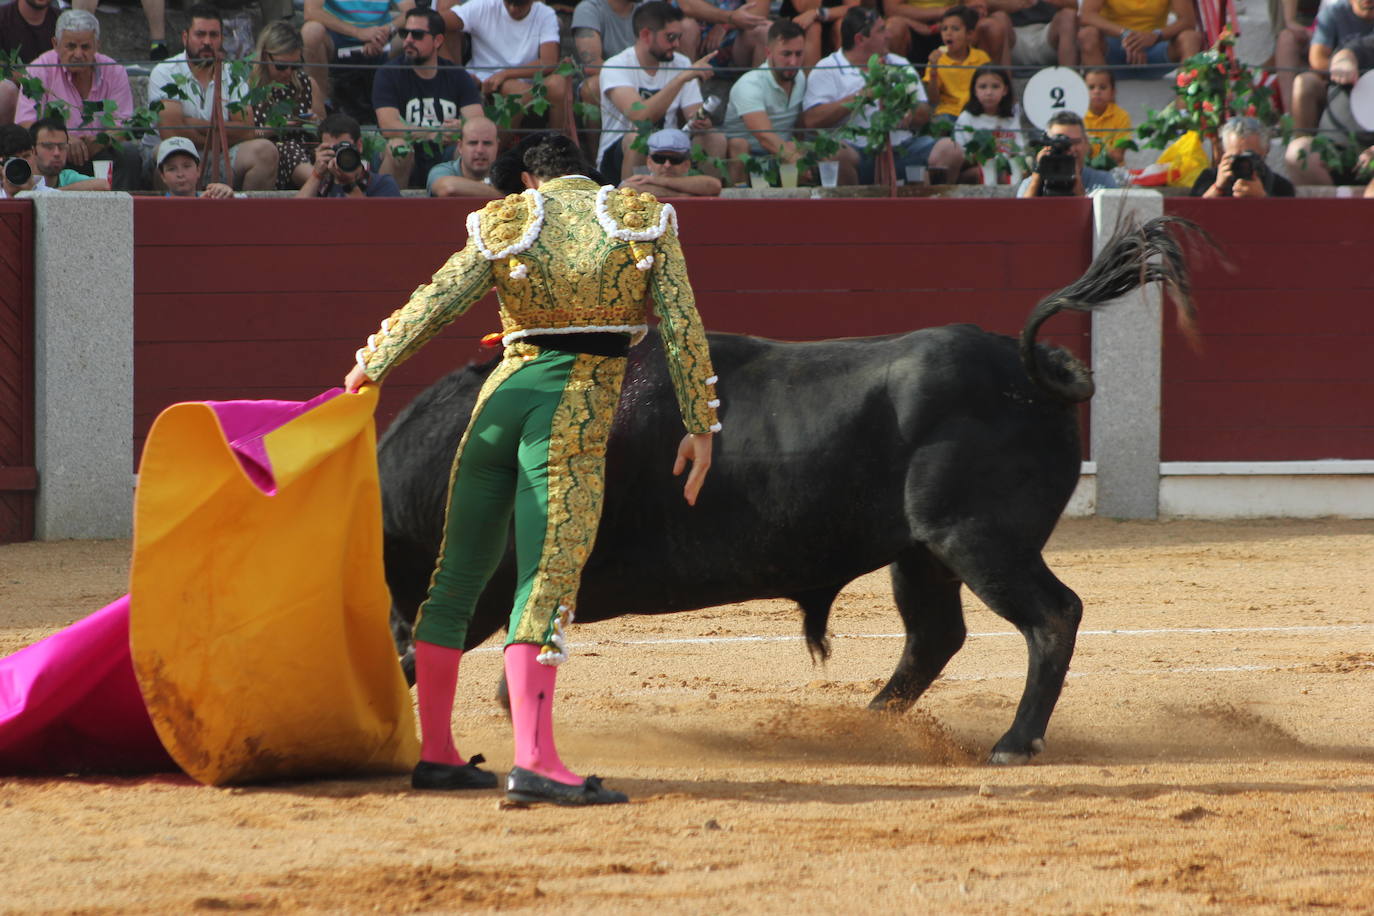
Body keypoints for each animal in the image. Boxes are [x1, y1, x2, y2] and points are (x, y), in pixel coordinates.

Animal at [381, 218, 1198, 763]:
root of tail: (1033, 366)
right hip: (923, 550)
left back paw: (1014, 742)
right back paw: (870, 722)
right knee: (936, 635)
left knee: (1051, 616)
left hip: (974, 536)